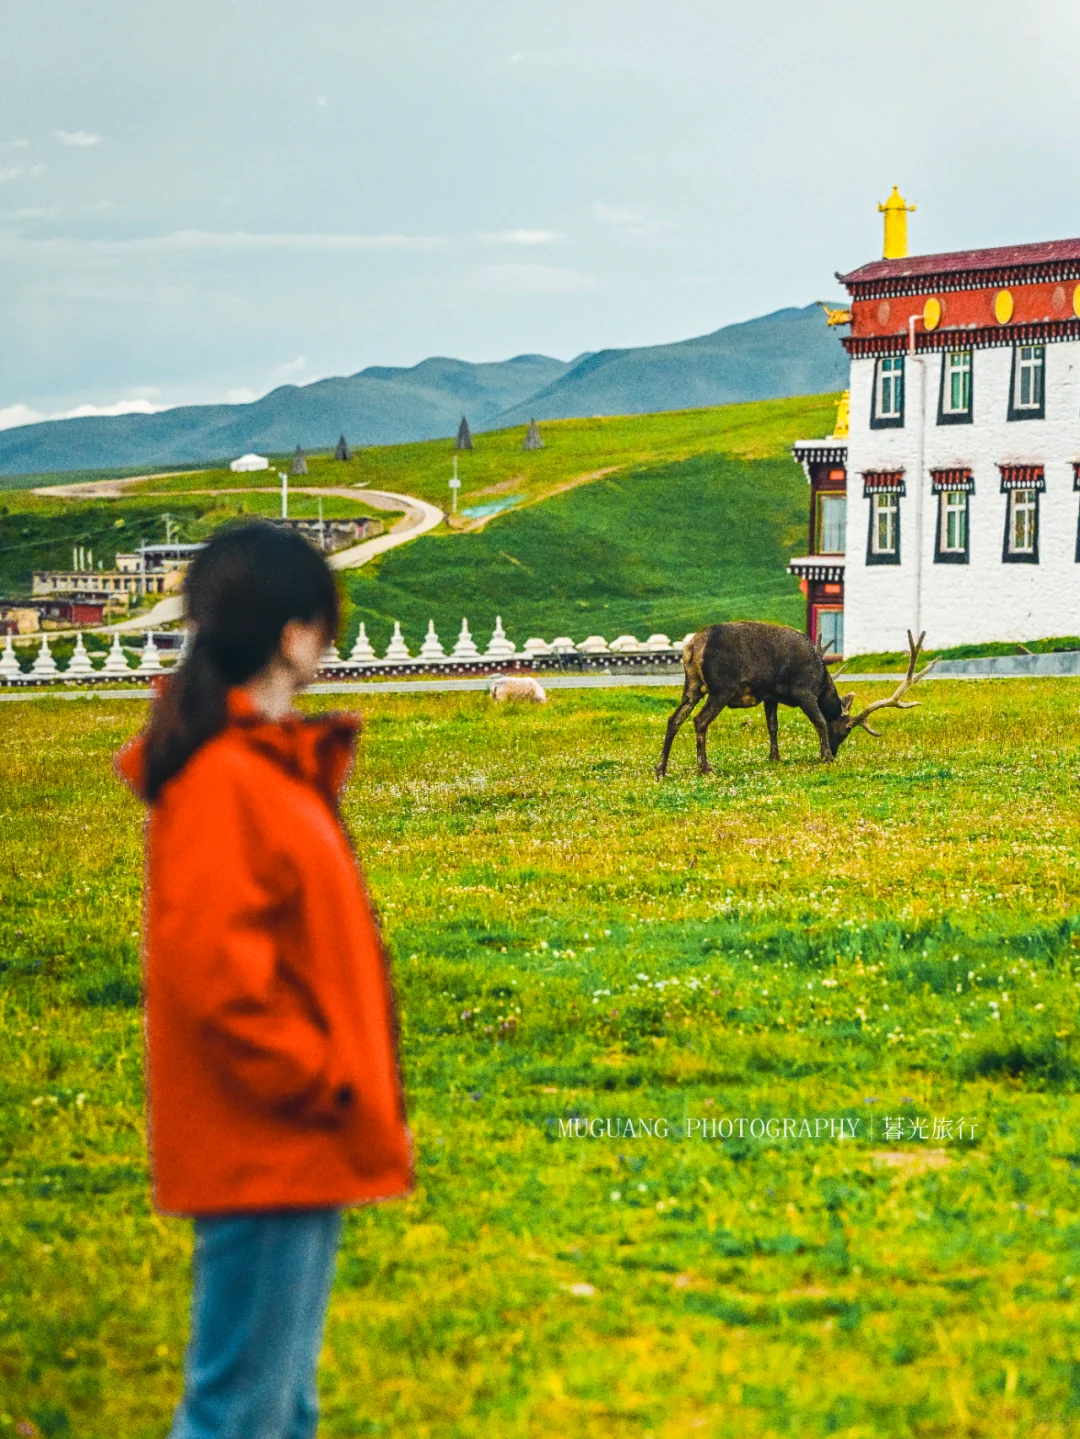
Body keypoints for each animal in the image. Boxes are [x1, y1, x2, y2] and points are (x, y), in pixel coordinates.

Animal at [655, 621, 931, 771]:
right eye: (845, 731)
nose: (835, 750)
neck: (821, 681)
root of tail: (693, 646)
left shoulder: (770, 695)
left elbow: (772, 725)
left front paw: (774, 757)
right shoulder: (803, 691)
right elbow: (820, 721)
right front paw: (825, 757)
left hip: (692, 684)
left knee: (674, 719)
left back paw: (661, 768)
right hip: (721, 687)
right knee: (699, 721)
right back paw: (704, 767)